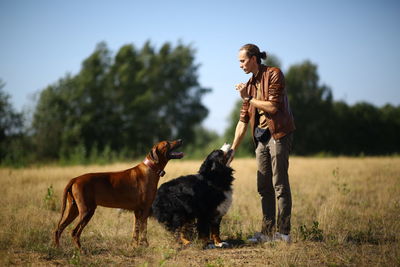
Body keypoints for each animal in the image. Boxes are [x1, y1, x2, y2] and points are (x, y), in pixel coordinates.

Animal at [52, 140, 183, 251]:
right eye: (166, 144)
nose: (180, 140)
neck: (150, 168)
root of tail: (75, 179)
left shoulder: (137, 211)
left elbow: (135, 230)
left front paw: (134, 245)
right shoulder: (145, 208)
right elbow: (144, 228)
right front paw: (145, 245)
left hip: (74, 210)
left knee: (59, 229)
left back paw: (58, 249)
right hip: (86, 211)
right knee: (74, 232)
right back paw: (80, 250)